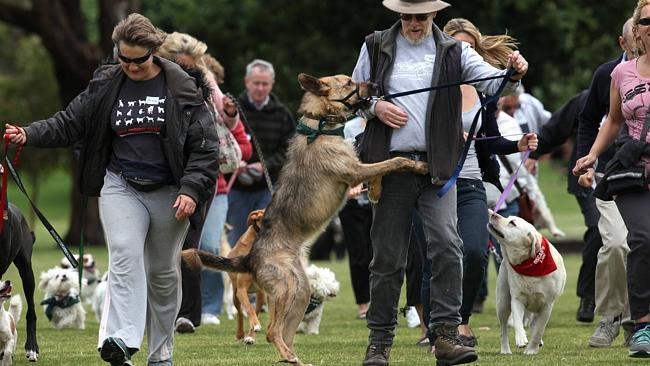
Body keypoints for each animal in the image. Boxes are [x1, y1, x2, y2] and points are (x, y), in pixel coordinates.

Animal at [182, 73, 428, 364]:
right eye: (348, 82)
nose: (376, 85)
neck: (320, 126)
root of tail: (251, 256)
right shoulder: (353, 170)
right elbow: (393, 162)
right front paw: (417, 165)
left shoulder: (358, 168)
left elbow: (379, 169)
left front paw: (376, 191)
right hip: (288, 287)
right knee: (272, 330)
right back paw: (287, 355)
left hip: (299, 292)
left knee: (281, 333)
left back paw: (293, 358)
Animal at [486, 210, 560, 356]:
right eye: (508, 217)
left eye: (512, 223)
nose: (493, 213)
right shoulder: (517, 298)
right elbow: (518, 321)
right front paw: (521, 339)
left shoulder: (547, 305)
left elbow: (538, 330)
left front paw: (531, 350)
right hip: (503, 301)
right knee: (503, 329)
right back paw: (505, 350)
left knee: (533, 323)